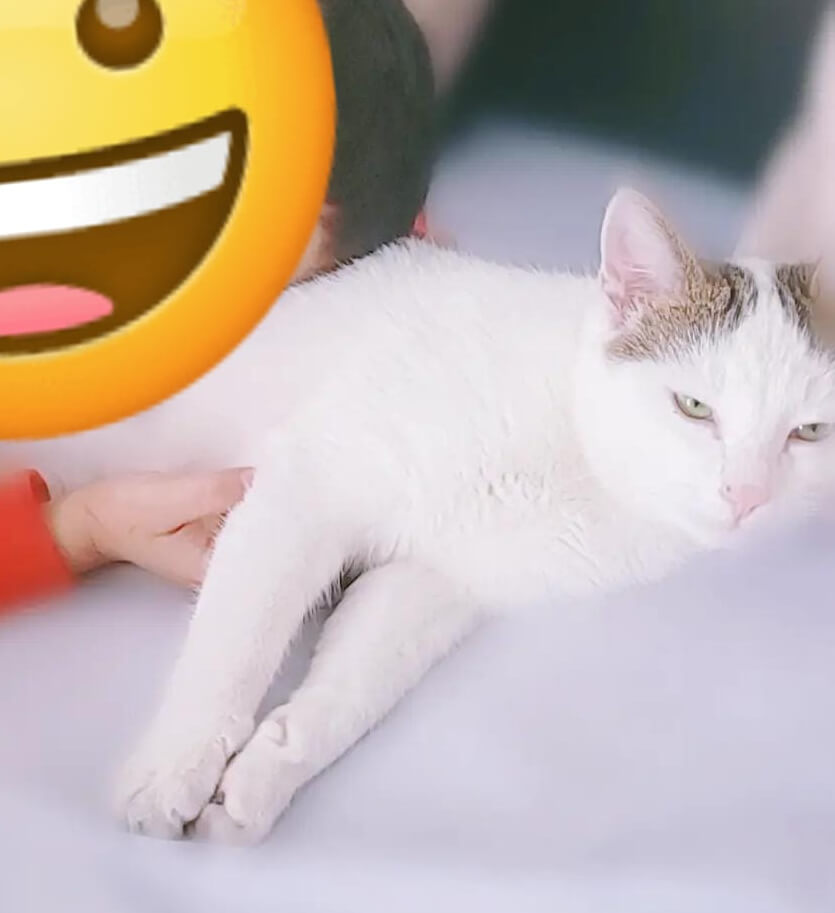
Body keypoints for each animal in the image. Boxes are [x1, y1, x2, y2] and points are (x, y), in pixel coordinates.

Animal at [6, 189, 835, 845]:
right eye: (693, 406)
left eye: (808, 432)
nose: (746, 494)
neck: (578, 470)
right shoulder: (309, 486)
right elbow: (235, 645)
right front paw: (174, 765)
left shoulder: (435, 582)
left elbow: (351, 691)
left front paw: (265, 775)